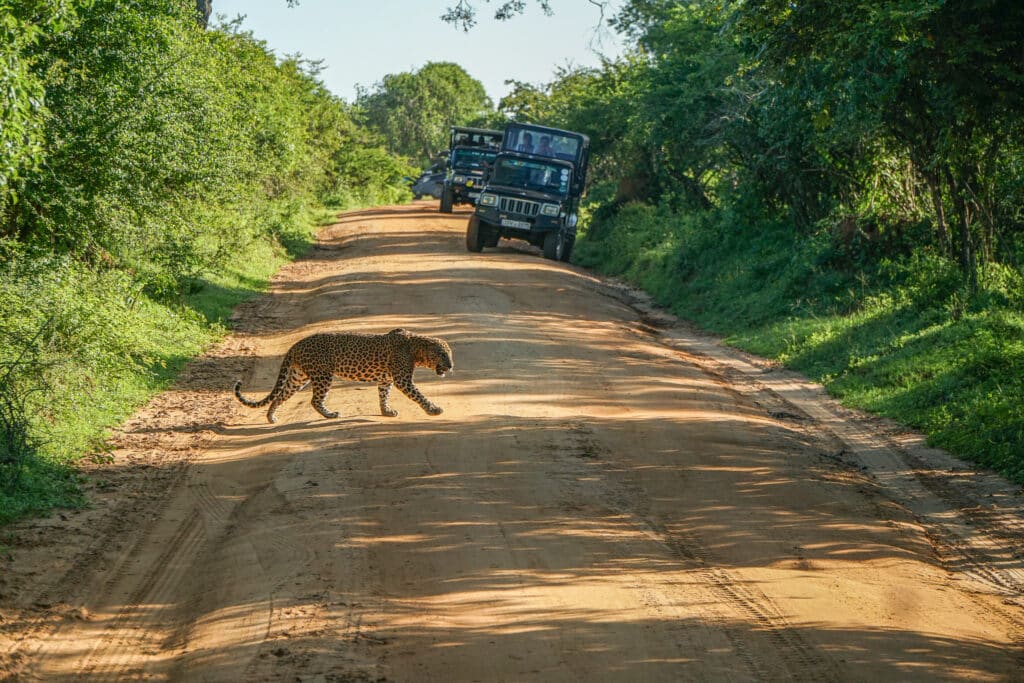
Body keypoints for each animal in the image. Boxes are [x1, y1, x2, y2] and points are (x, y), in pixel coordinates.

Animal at [237, 329, 454, 423]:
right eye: (443, 354)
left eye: (449, 354)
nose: (451, 366)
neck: (416, 349)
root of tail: (296, 344)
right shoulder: (402, 379)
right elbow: (419, 395)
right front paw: (433, 409)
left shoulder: (386, 379)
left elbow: (383, 395)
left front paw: (386, 411)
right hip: (322, 375)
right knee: (315, 400)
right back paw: (330, 414)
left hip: (299, 376)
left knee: (282, 395)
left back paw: (271, 417)